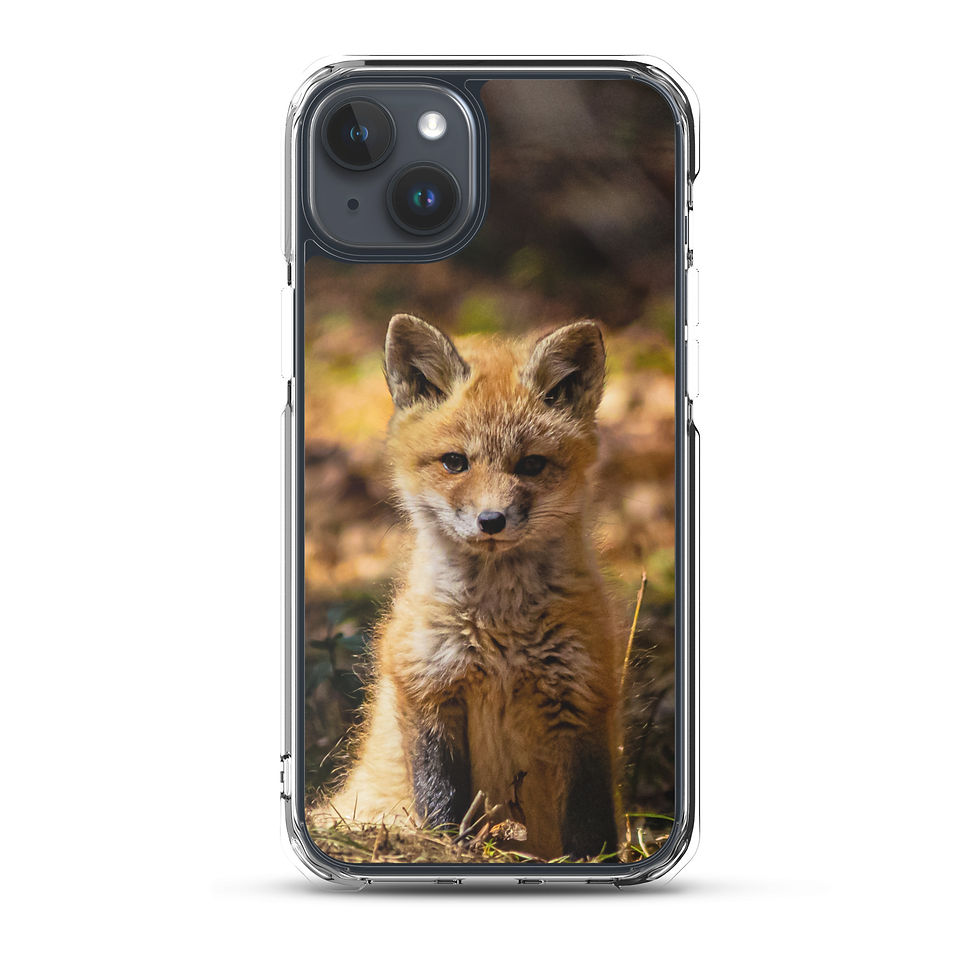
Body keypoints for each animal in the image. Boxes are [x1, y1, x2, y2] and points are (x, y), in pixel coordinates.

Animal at [326, 313, 623, 860]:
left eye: (531, 464)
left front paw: (594, 861)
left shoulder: (582, 699)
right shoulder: (427, 689)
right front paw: (445, 848)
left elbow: (589, 822)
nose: (492, 521)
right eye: (455, 462)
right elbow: (441, 798)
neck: (500, 630)